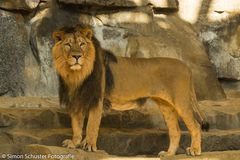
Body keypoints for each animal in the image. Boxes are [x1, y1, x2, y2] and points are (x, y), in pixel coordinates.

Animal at [51, 25, 209, 157]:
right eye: (68, 45)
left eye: (82, 44)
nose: (76, 56)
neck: (76, 75)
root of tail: (186, 66)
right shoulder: (76, 99)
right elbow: (76, 125)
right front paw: (74, 143)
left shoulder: (97, 100)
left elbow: (91, 126)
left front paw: (89, 146)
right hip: (166, 106)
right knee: (175, 130)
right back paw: (168, 154)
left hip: (181, 102)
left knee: (195, 126)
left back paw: (195, 150)